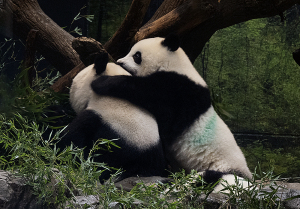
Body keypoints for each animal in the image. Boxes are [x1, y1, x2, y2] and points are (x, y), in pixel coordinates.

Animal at [90, 34, 252, 189]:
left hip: (224, 167)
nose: (119, 62)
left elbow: (151, 96)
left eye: (137, 55)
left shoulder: (181, 93)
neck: (173, 64)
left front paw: (102, 82)